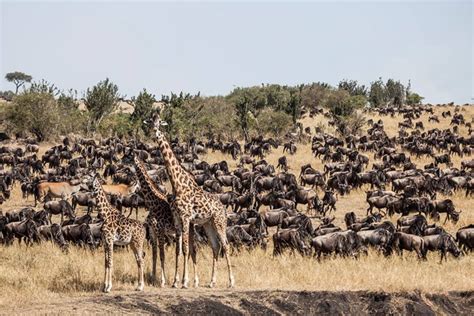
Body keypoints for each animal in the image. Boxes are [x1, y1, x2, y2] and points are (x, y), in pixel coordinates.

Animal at [132, 157, 197, 288]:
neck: (153, 204)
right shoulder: (152, 231)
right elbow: (154, 255)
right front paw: (152, 278)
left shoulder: (160, 230)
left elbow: (162, 255)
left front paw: (162, 281)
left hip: (189, 229)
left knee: (193, 250)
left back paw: (193, 281)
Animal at [153, 117, 234, 288]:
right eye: (151, 121)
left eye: (160, 122)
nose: (155, 132)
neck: (177, 184)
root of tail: (223, 208)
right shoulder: (177, 219)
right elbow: (178, 250)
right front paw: (175, 282)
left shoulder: (185, 218)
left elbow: (185, 249)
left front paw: (184, 282)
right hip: (208, 223)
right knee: (216, 246)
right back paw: (211, 282)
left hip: (219, 222)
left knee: (225, 245)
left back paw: (231, 281)